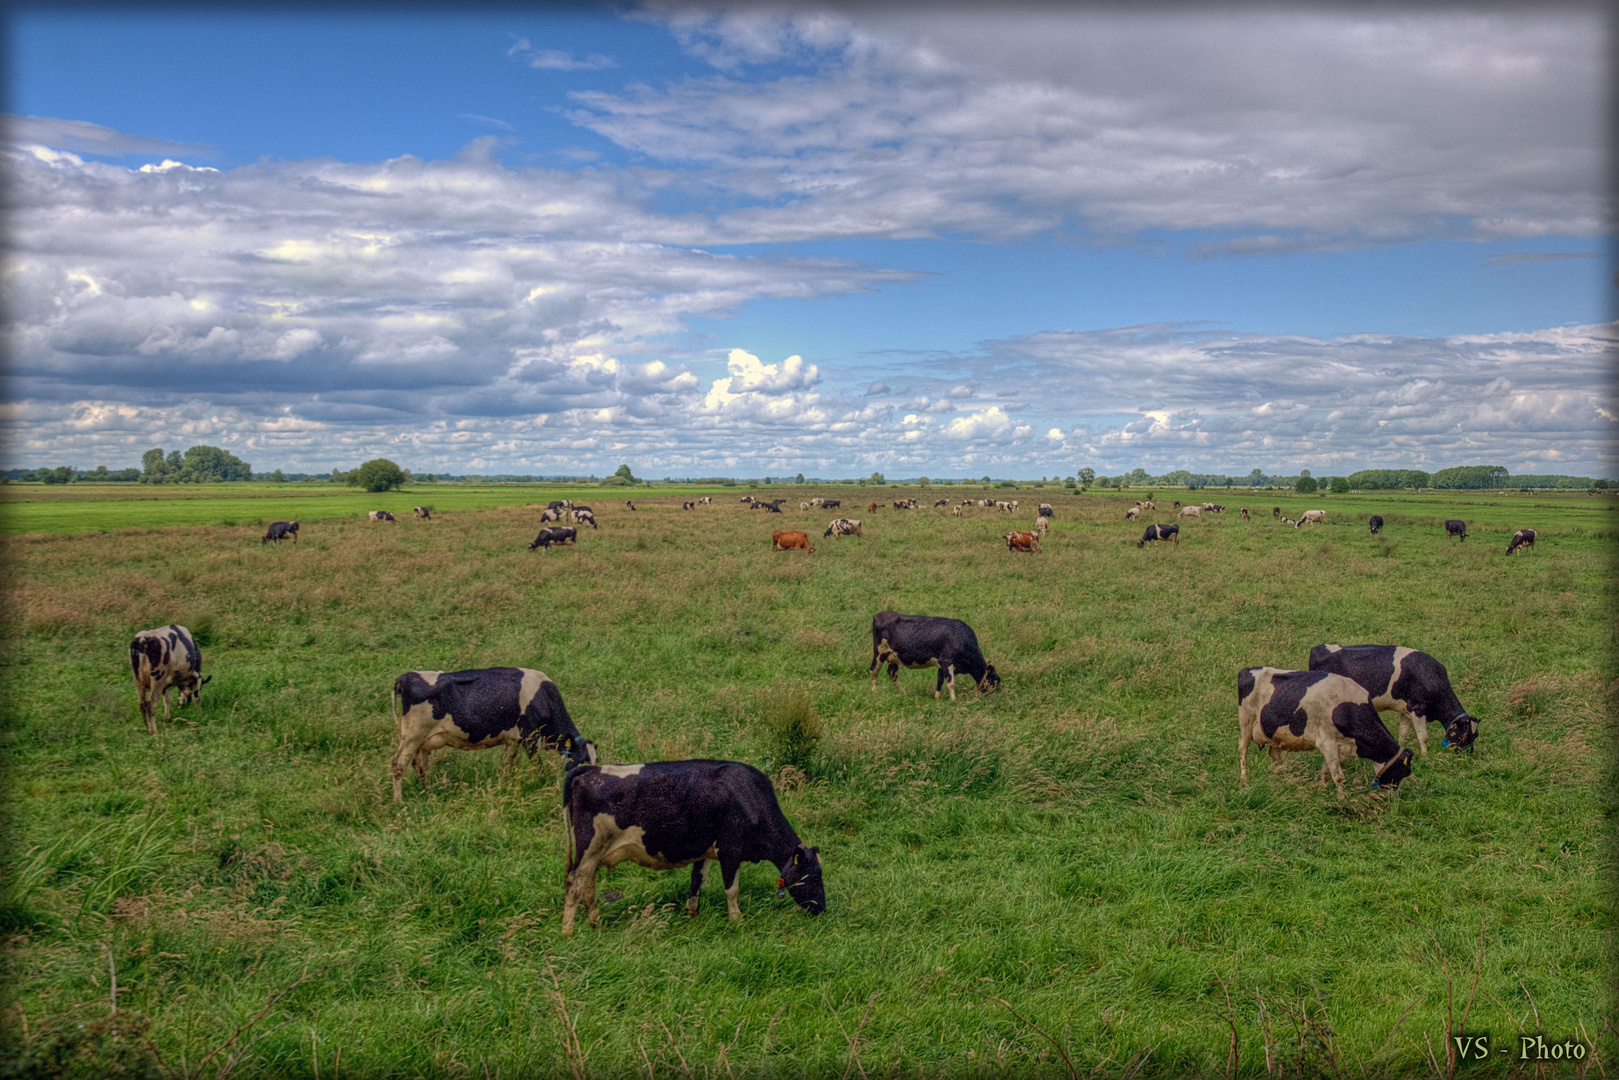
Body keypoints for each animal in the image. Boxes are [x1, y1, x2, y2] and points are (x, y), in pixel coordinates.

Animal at [388, 667, 599, 803]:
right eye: (583, 760)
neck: (545, 697)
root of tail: (405, 677)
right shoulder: (528, 737)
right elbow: (537, 765)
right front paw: (542, 782)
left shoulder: (513, 740)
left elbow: (506, 765)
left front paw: (502, 786)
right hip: (412, 736)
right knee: (398, 764)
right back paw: (399, 803)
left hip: (423, 741)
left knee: (420, 766)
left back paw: (428, 793)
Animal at [563, 764, 828, 932]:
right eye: (815, 875)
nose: (822, 909)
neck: (749, 798)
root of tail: (588, 769)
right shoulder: (730, 851)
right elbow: (732, 889)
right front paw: (737, 920)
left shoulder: (705, 850)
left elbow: (696, 881)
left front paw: (691, 914)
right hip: (589, 849)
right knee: (574, 885)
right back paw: (568, 932)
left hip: (593, 855)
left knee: (588, 887)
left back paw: (595, 924)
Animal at [1236, 663, 1418, 799]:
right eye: (1403, 771)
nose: (1394, 799)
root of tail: (1248, 670)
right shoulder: (1327, 742)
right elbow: (1338, 776)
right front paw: (1342, 799)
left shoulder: (1338, 748)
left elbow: (1325, 769)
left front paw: (1322, 788)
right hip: (1246, 719)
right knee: (1243, 749)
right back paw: (1244, 779)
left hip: (1275, 734)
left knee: (1274, 755)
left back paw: (1281, 775)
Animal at [1301, 647, 1483, 757]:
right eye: (1466, 734)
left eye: (1476, 735)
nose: (1467, 755)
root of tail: (1318, 648)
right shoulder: (1418, 708)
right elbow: (1423, 736)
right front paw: (1425, 755)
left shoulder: (1406, 710)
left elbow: (1403, 731)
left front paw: (1402, 745)